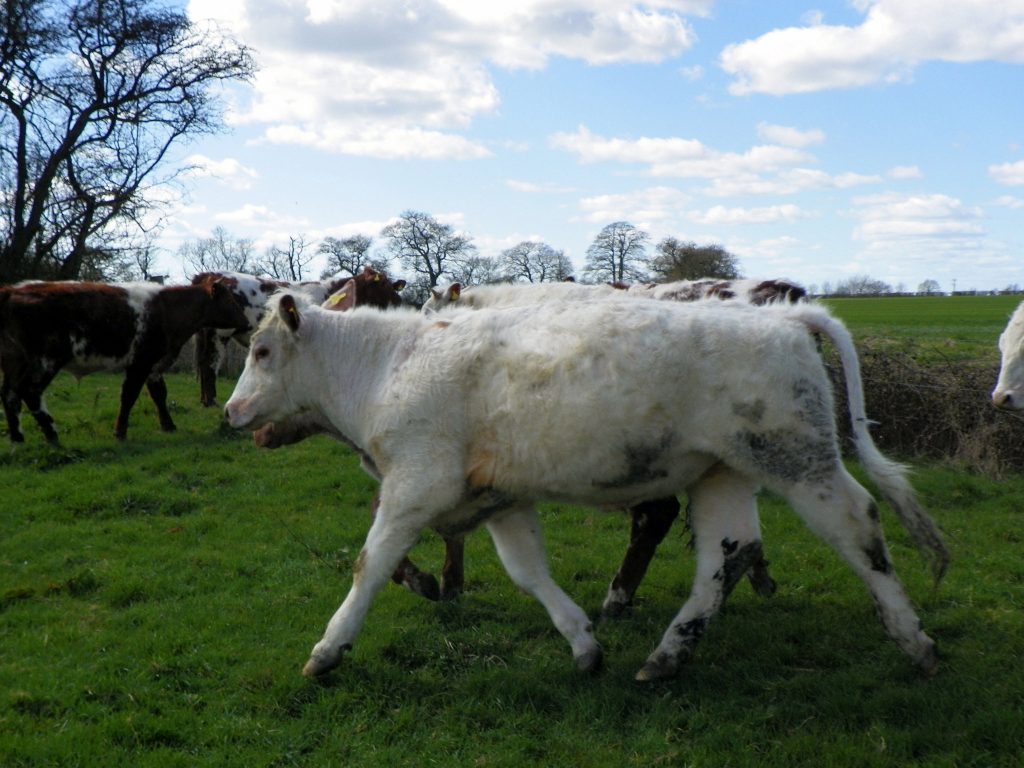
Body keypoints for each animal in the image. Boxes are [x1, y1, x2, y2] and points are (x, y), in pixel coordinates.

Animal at [0, 280, 247, 444]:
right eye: (231, 301)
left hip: (15, 360)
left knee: (10, 395)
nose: (245, 321)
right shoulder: (140, 363)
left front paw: (168, 425)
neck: (166, 309)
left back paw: (17, 437)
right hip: (46, 360)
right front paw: (120, 431)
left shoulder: (154, 366)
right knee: (30, 392)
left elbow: (159, 395)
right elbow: (129, 396)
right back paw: (52, 434)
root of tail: (13, 290)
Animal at [192, 266, 403, 405]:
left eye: (391, 285)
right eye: (382, 284)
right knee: (210, 364)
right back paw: (211, 401)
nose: (399, 300)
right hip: (218, 333)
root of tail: (208, 274)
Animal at [228, 292, 946, 679]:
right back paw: (666, 655)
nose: (232, 411)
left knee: (858, 525)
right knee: (729, 552)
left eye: (261, 352)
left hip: (798, 460)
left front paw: (328, 650)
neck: (387, 366)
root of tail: (785, 317)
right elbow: (528, 571)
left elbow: (371, 565)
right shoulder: (502, 496)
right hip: (722, 473)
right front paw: (582, 642)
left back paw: (914, 640)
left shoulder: (415, 485)